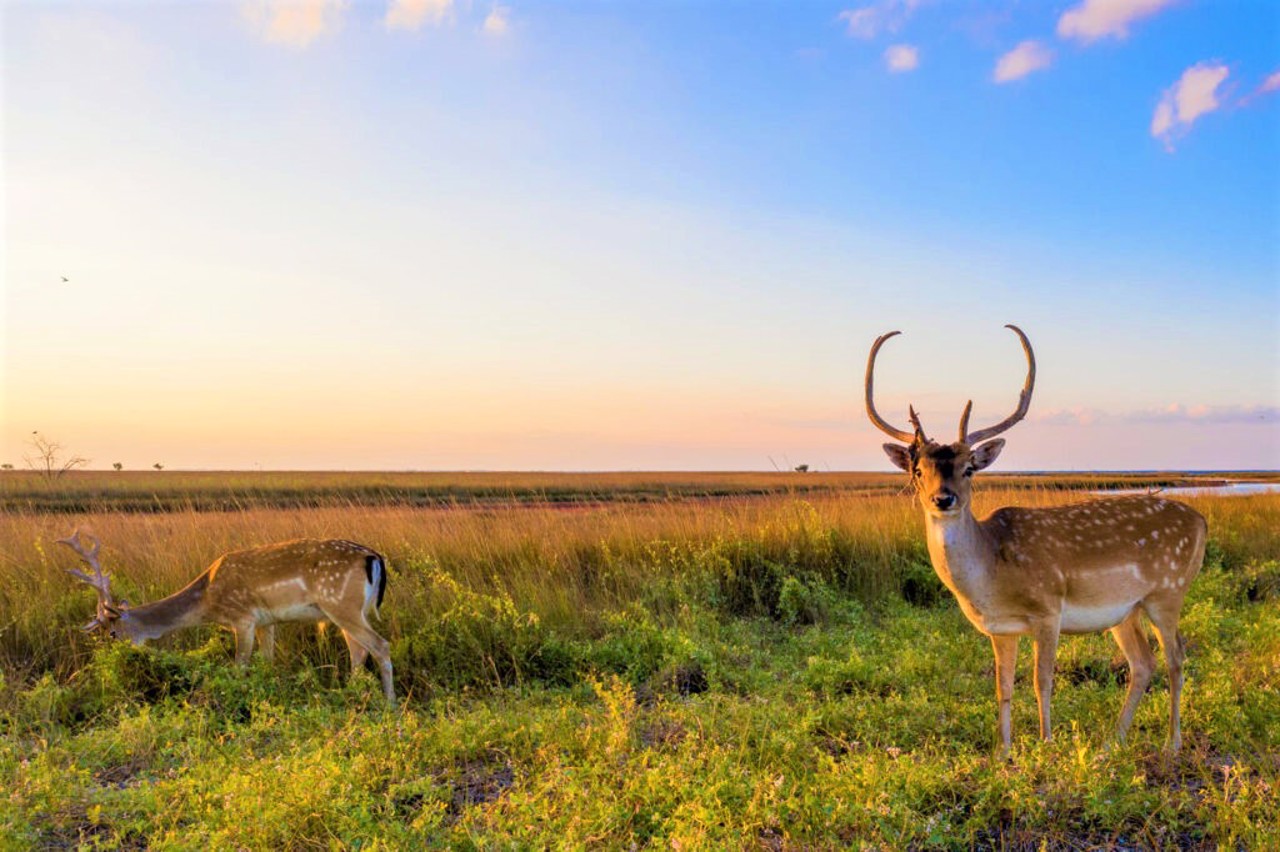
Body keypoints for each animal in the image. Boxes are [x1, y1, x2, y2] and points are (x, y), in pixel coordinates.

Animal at [58, 532, 394, 701]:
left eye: (113, 632)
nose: (118, 659)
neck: (208, 599)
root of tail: (374, 557)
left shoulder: (242, 619)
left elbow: (239, 665)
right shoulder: (267, 622)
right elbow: (267, 661)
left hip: (341, 604)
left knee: (380, 645)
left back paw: (389, 705)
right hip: (345, 611)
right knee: (358, 650)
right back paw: (352, 694)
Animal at [865, 324, 1203, 752]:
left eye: (969, 468)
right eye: (918, 470)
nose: (943, 498)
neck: (992, 572)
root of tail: (1202, 522)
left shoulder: (1048, 608)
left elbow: (1043, 682)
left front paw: (1046, 743)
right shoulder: (1000, 628)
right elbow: (1003, 688)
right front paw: (1003, 751)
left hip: (1168, 592)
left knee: (1176, 658)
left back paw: (1171, 743)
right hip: (1126, 610)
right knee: (1143, 663)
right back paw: (1112, 743)